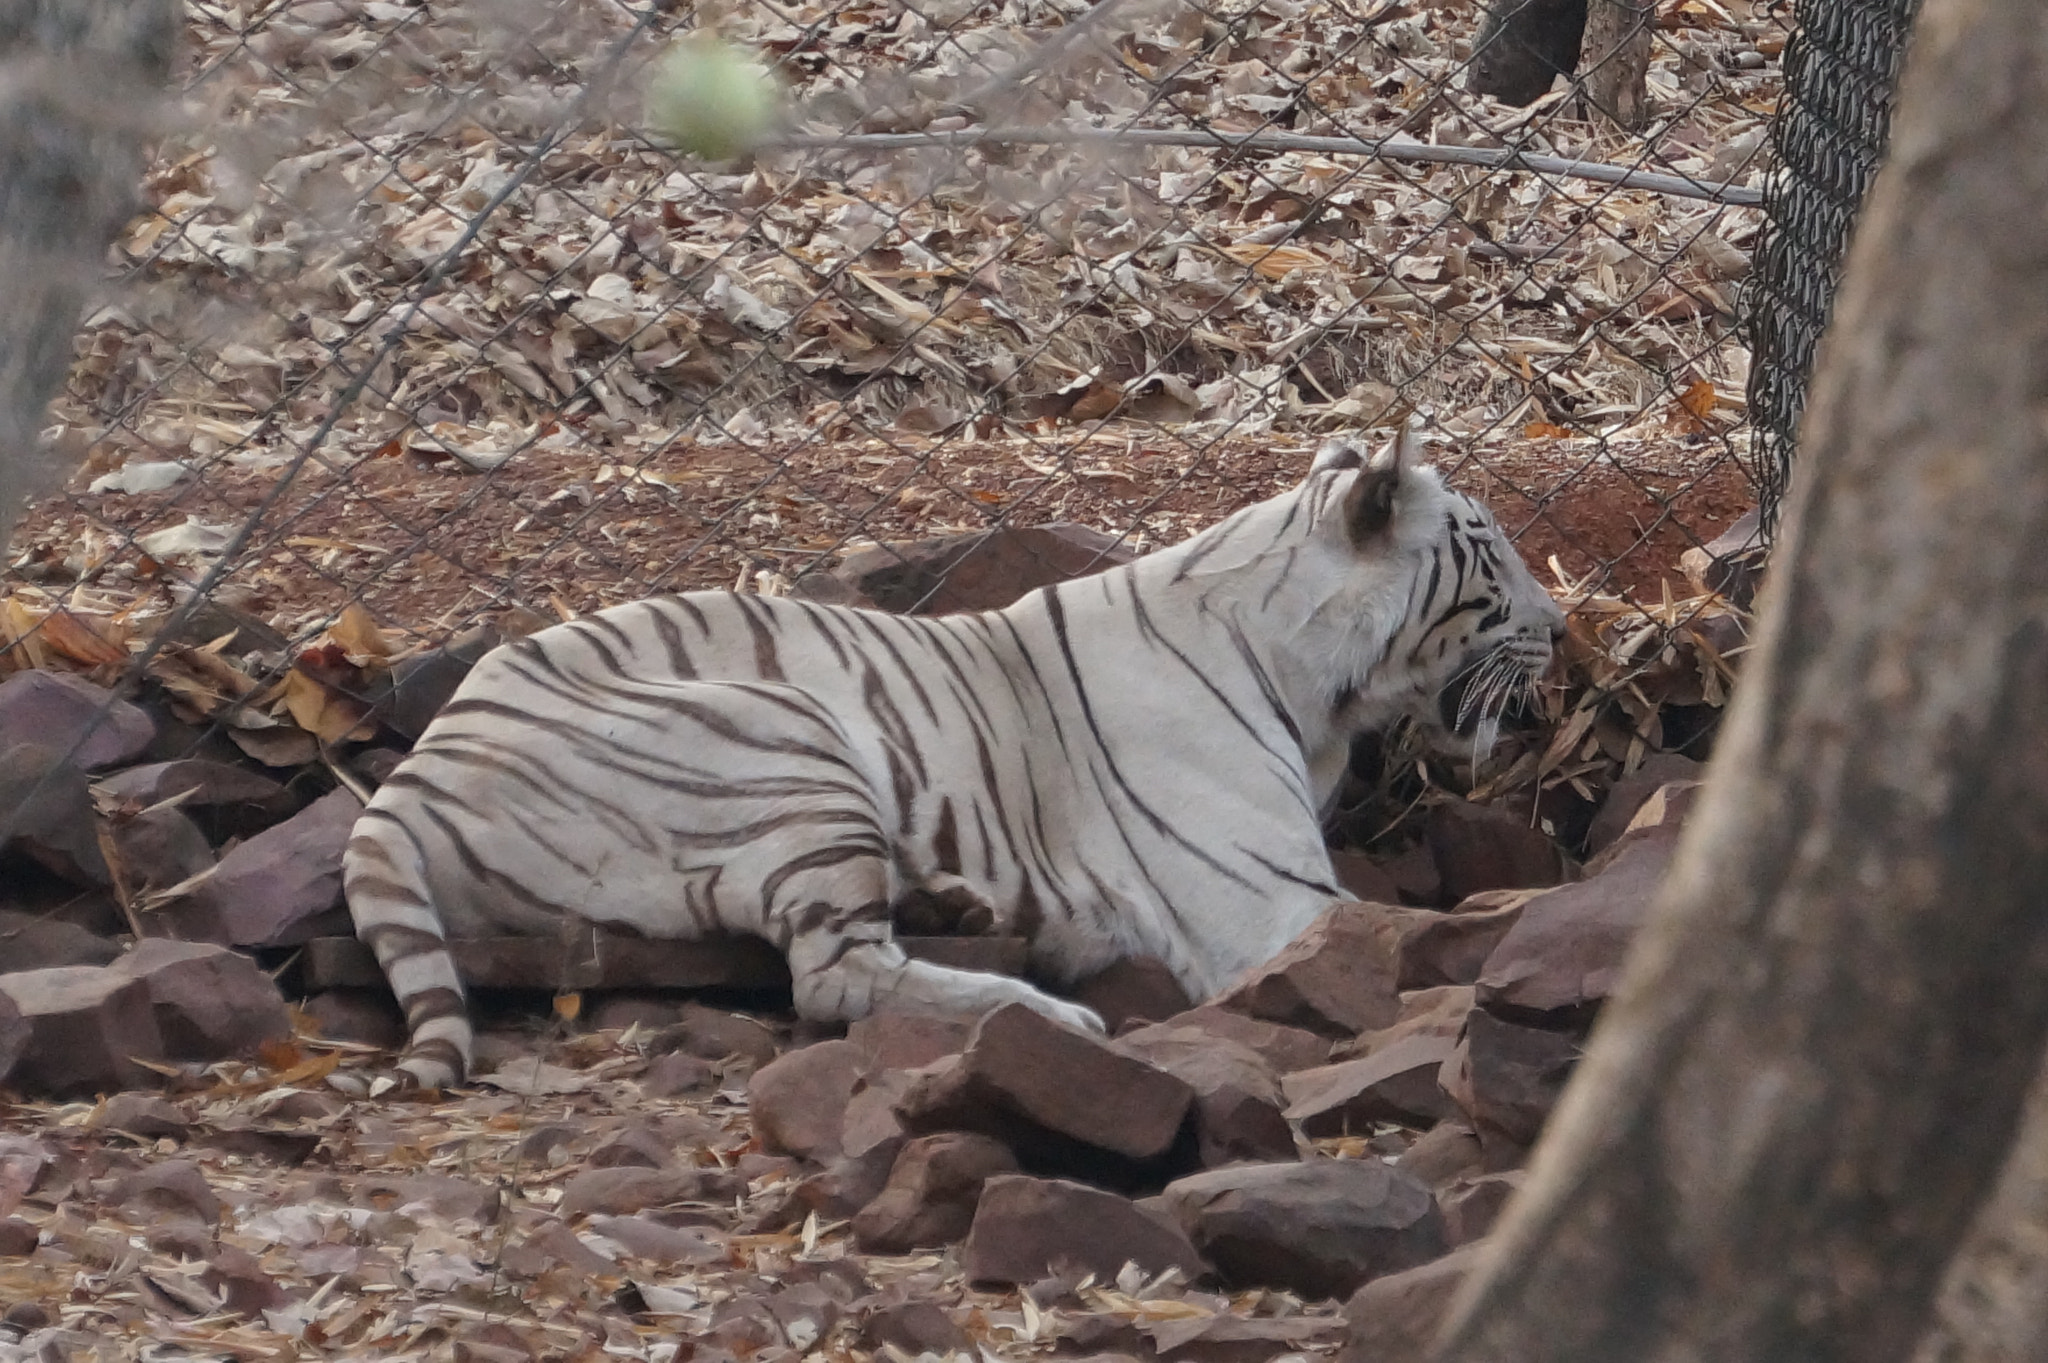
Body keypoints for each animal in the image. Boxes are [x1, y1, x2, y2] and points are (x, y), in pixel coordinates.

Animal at [343, 427, 1566, 1087]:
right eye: (1493, 556)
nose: (1561, 629)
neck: (1316, 681)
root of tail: (416, 767)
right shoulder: (1273, 904)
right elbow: (1423, 933)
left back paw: (962, 905)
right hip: (787, 735)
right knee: (833, 977)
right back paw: (1047, 1014)